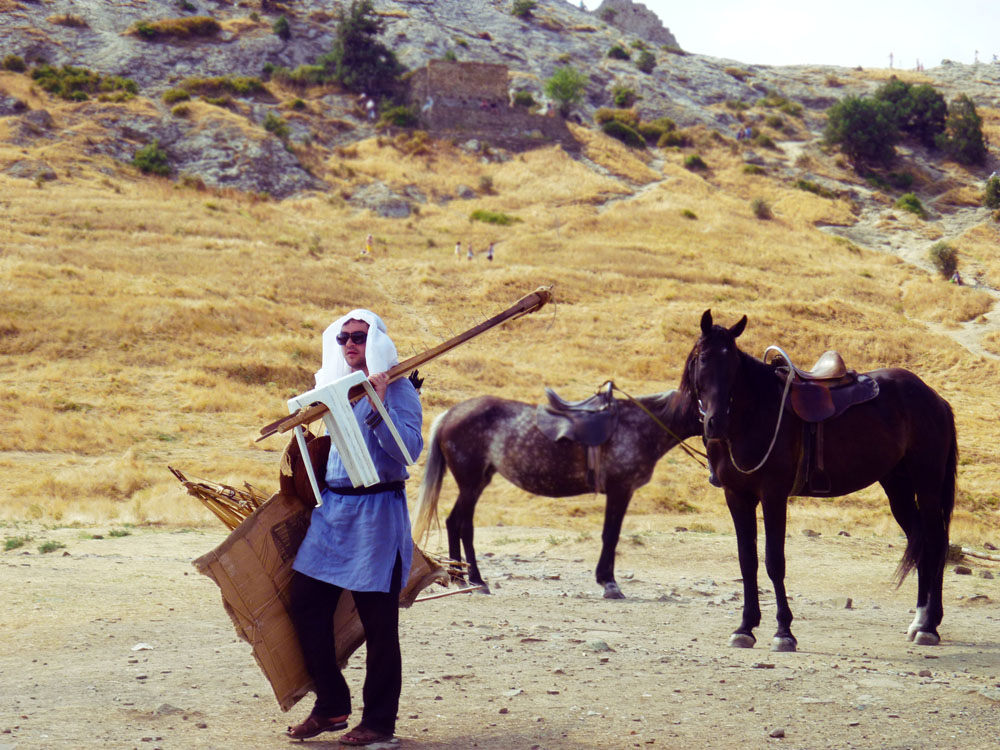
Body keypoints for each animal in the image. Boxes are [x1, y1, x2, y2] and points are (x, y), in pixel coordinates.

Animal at [410, 390, 700, 604]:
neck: (639, 425)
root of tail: (450, 414)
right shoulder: (621, 490)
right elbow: (611, 535)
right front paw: (610, 584)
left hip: (477, 482)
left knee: (453, 522)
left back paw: (460, 578)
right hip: (471, 483)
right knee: (463, 525)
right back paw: (477, 581)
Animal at [676, 312, 956, 652]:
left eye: (732, 365)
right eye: (702, 359)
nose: (715, 423)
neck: (752, 416)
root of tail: (934, 398)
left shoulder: (773, 494)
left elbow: (774, 561)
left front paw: (784, 632)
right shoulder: (737, 496)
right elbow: (747, 562)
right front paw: (745, 628)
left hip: (927, 483)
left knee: (935, 542)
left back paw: (929, 626)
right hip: (898, 487)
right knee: (921, 541)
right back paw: (920, 620)